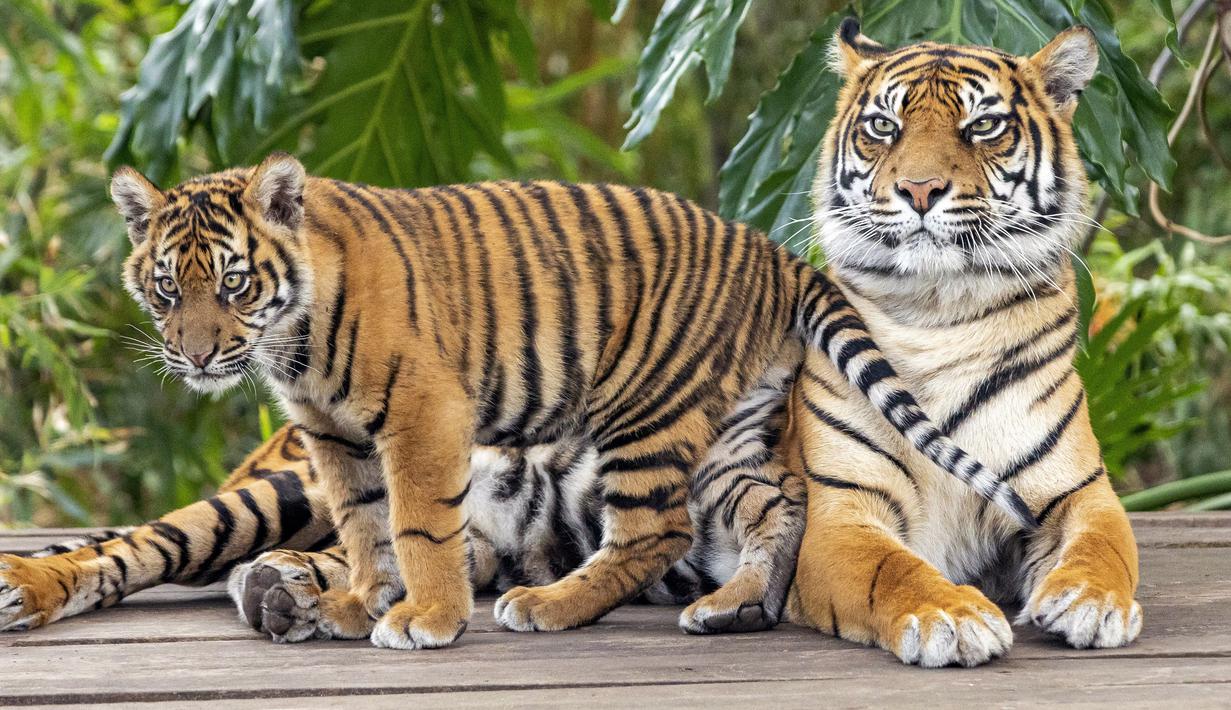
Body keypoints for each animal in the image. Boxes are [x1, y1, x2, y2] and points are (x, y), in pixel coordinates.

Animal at [0, 160, 1022, 647]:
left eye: (236, 284)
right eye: (167, 288)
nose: (197, 353)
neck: (294, 337)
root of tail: (774, 254)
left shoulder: (422, 415)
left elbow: (415, 523)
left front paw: (423, 618)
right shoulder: (332, 436)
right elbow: (366, 526)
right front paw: (359, 603)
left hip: (649, 412)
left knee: (654, 531)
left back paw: (552, 606)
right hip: (726, 432)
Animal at [781, 20, 1142, 667]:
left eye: (983, 126)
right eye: (884, 127)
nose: (919, 189)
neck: (937, 317)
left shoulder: (1080, 491)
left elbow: (1103, 545)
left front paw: (1092, 601)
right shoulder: (840, 513)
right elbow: (890, 568)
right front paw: (950, 615)